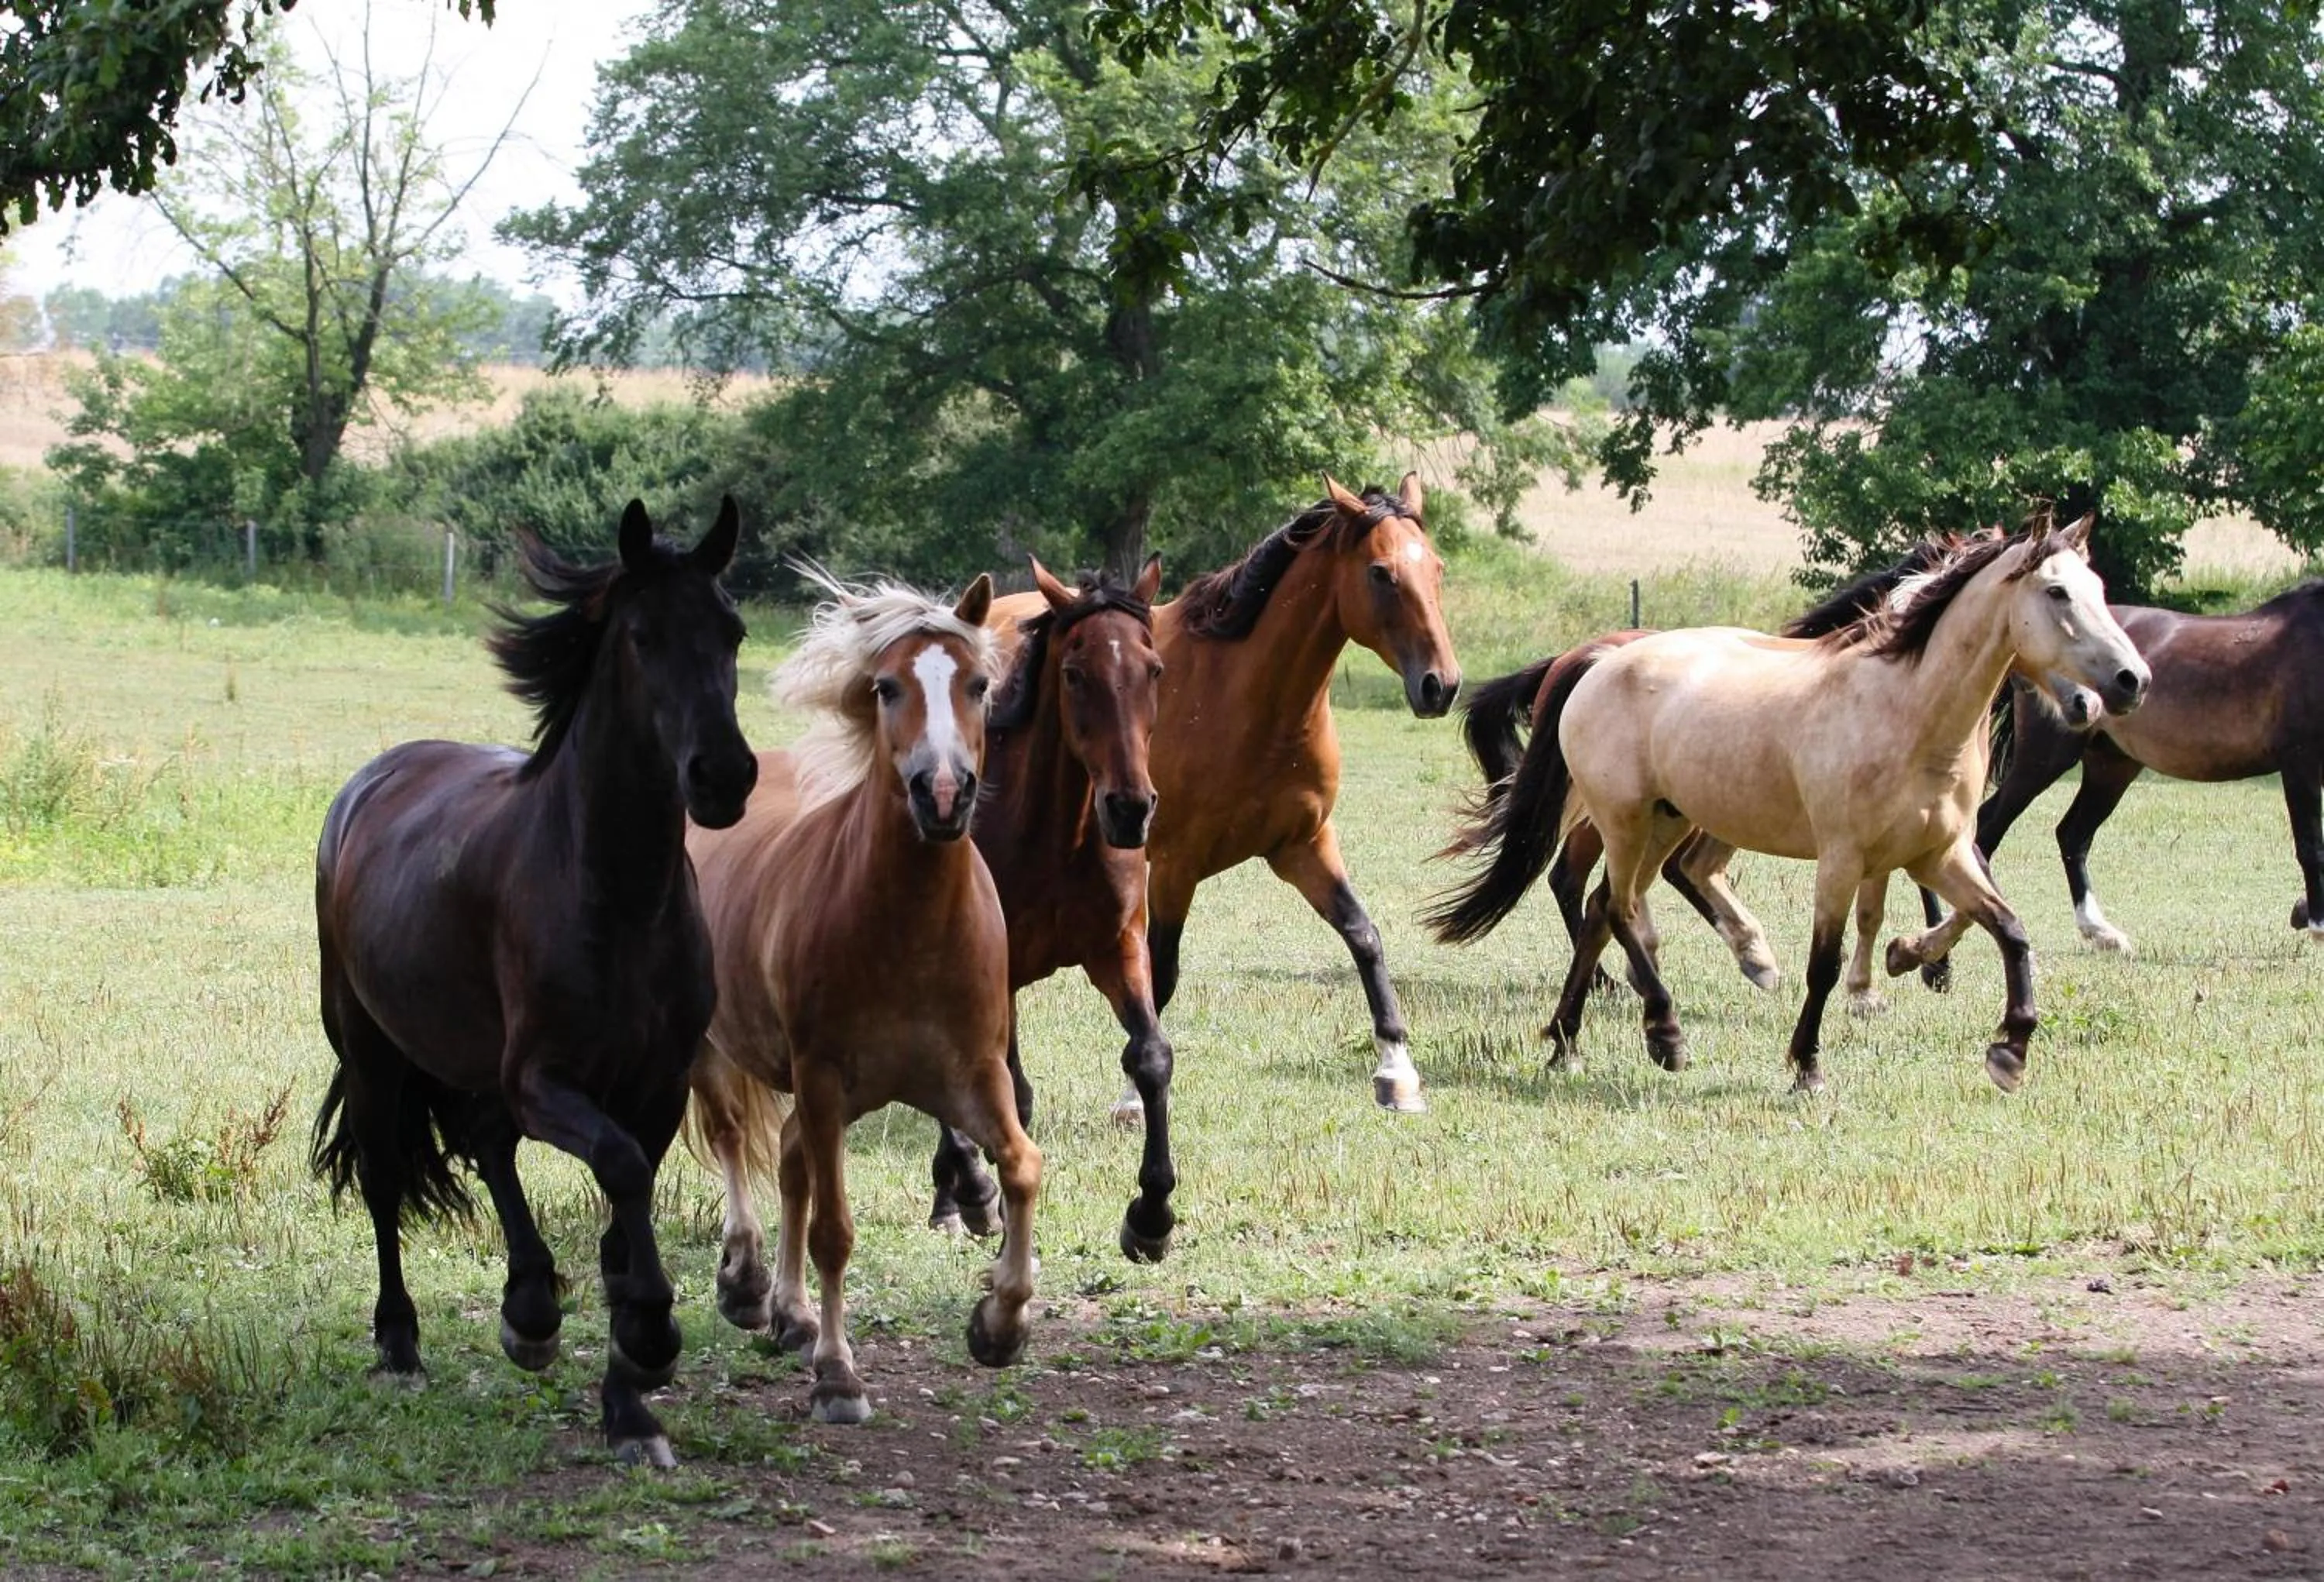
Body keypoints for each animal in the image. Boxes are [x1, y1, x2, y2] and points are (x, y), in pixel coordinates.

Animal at [310, 498, 755, 1468]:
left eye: (734, 631)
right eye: (641, 634)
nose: (724, 775)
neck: (618, 897)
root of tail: (371, 780)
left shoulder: (657, 1086)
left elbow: (624, 1213)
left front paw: (630, 1402)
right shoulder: (547, 1078)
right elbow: (619, 1172)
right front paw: (652, 1337)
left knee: (485, 1140)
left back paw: (531, 1309)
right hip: (370, 1049)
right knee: (386, 1178)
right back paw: (402, 1341)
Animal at [685, 571, 1038, 1425]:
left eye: (980, 685)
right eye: (886, 687)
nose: (942, 792)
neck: (908, 925)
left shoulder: (973, 1076)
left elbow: (1022, 1167)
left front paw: (1000, 1322)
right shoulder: (820, 1078)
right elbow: (835, 1230)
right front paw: (838, 1376)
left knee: (785, 1159)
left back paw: (789, 1311)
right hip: (720, 1050)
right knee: (732, 1138)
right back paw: (747, 1282)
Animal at [923, 556, 1178, 1262]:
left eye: (1154, 669)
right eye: (1074, 673)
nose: (1130, 808)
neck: (1055, 837)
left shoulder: (1118, 948)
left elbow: (1151, 1056)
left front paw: (1151, 1215)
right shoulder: (999, 970)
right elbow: (1011, 1092)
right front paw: (988, 1200)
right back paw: (964, 1192)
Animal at [980, 473, 1461, 1115]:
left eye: (1435, 568)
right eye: (1381, 573)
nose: (1441, 685)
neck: (1248, 701)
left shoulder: (1303, 845)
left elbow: (1364, 936)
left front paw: (1397, 1070)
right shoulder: (1174, 867)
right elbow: (1161, 975)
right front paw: (1134, 1097)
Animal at [1428, 516, 2149, 1093]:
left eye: (2099, 591)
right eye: (2057, 593)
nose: (2128, 682)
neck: (1907, 711)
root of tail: (1597, 662)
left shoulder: (1938, 855)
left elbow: (2008, 929)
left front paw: (2007, 1049)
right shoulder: (1843, 859)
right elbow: (1825, 964)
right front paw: (1808, 1064)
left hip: (1666, 822)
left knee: (1606, 907)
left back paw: (1567, 1042)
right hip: (1625, 822)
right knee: (1620, 907)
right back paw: (1666, 1033)